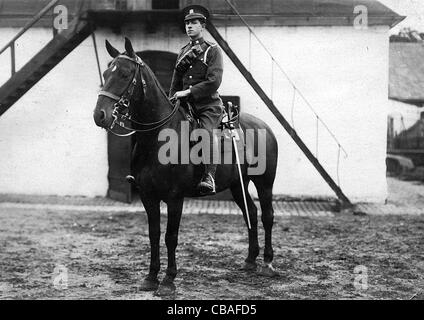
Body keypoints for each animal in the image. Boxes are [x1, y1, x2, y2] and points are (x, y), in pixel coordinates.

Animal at [93, 38, 278, 298]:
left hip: (265, 182)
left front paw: (169, 280)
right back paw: (250, 260)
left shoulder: (174, 198)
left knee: (267, 215)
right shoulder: (148, 196)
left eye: (125, 73)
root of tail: (264, 126)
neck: (158, 138)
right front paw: (151, 277)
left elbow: (171, 236)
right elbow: (153, 234)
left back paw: (268, 264)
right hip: (236, 185)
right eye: (106, 72)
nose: (99, 115)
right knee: (250, 212)